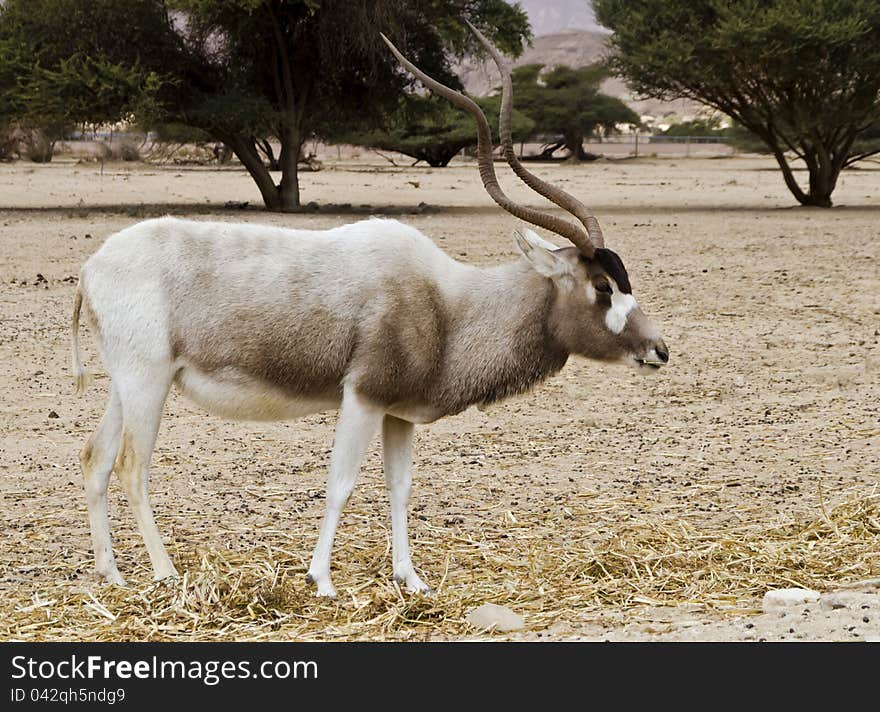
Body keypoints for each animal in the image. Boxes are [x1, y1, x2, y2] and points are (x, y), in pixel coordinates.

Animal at [72, 23, 672, 596]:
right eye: (602, 286)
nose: (658, 349)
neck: (448, 304)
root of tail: (91, 268)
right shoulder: (360, 397)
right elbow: (341, 483)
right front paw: (321, 580)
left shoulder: (397, 412)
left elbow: (399, 487)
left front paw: (411, 579)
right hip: (148, 382)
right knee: (131, 466)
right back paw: (164, 573)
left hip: (129, 384)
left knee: (96, 458)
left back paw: (111, 573)